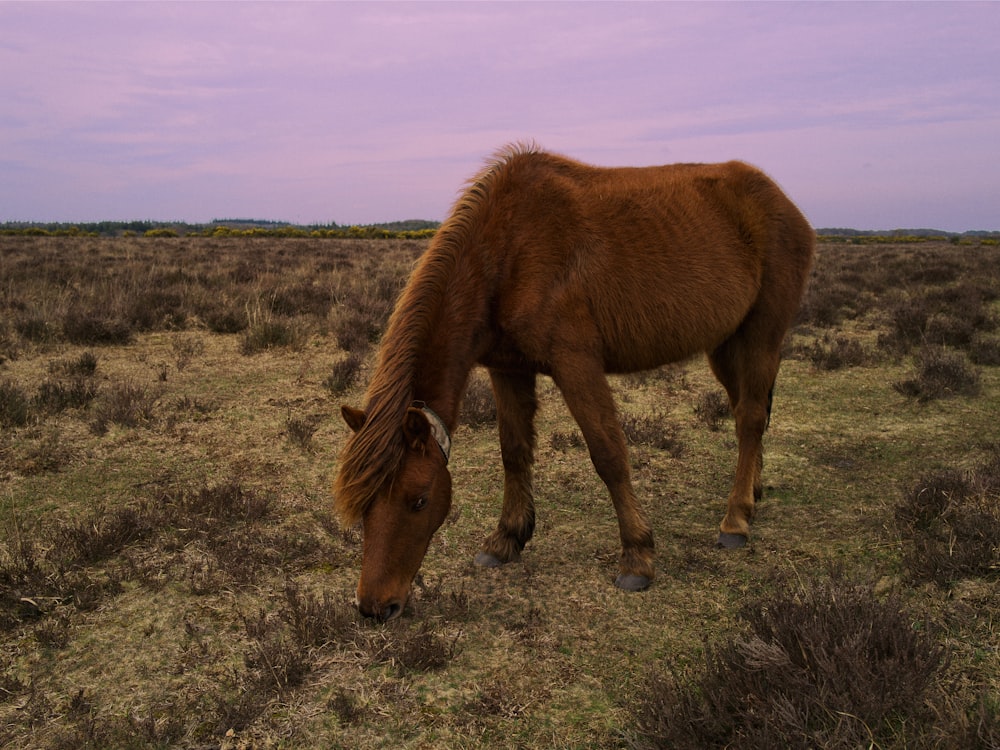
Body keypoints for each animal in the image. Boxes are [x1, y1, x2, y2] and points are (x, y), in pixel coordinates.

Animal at [334, 142, 812, 624]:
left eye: (419, 499)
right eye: (364, 504)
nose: (375, 607)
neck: (506, 250)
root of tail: (783, 203)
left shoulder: (576, 365)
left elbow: (609, 455)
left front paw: (637, 556)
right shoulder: (508, 369)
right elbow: (514, 451)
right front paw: (507, 537)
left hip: (761, 337)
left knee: (750, 419)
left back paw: (735, 520)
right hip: (726, 346)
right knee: (747, 412)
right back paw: (752, 493)